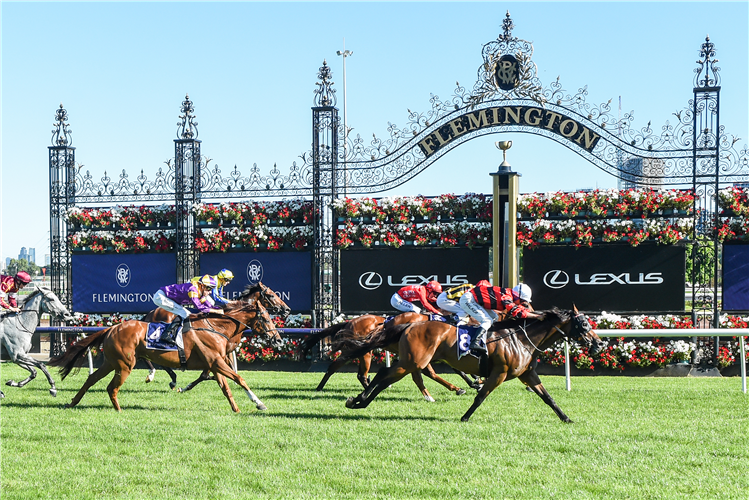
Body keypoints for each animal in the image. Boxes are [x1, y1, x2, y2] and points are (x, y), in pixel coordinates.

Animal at [48, 294, 280, 412]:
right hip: (124, 364)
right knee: (111, 387)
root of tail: (112, 328)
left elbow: (225, 387)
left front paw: (236, 409)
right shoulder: (216, 362)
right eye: (266, 317)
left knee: (91, 379)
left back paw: (73, 402)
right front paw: (259, 403)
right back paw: (119, 410)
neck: (216, 326)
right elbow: (240, 379)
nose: (277, 338)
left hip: (111, 363)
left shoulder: (215, 363)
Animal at [139, 282, 290, 390]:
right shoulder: (216, 350)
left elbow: (218, 369)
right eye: (271, 295)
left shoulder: (221, 351)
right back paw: (158, 376)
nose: (287, 309)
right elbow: (212, 371)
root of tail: (151, 312)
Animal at [298, 312, 480, 402]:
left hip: (353, 351)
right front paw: (471, 383)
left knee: (335, 367)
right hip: (365, 352)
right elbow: (444, 371)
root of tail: (350, 321)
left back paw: (321, 387)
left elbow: (437, 373)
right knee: (360, 374)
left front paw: (473, 382)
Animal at [336, 308, 604, 422]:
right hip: (413, 360)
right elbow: (481, 396)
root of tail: (410, 324)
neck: (520, 338)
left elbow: (548, 398)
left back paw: (359, 401)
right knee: (384, 375)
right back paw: (359, 401)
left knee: (385, 374)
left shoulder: (527, 374)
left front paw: (566, 418)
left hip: (411, 360)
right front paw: (465, 417)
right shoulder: (499, 373)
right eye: (583, 325)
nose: (600, 344)